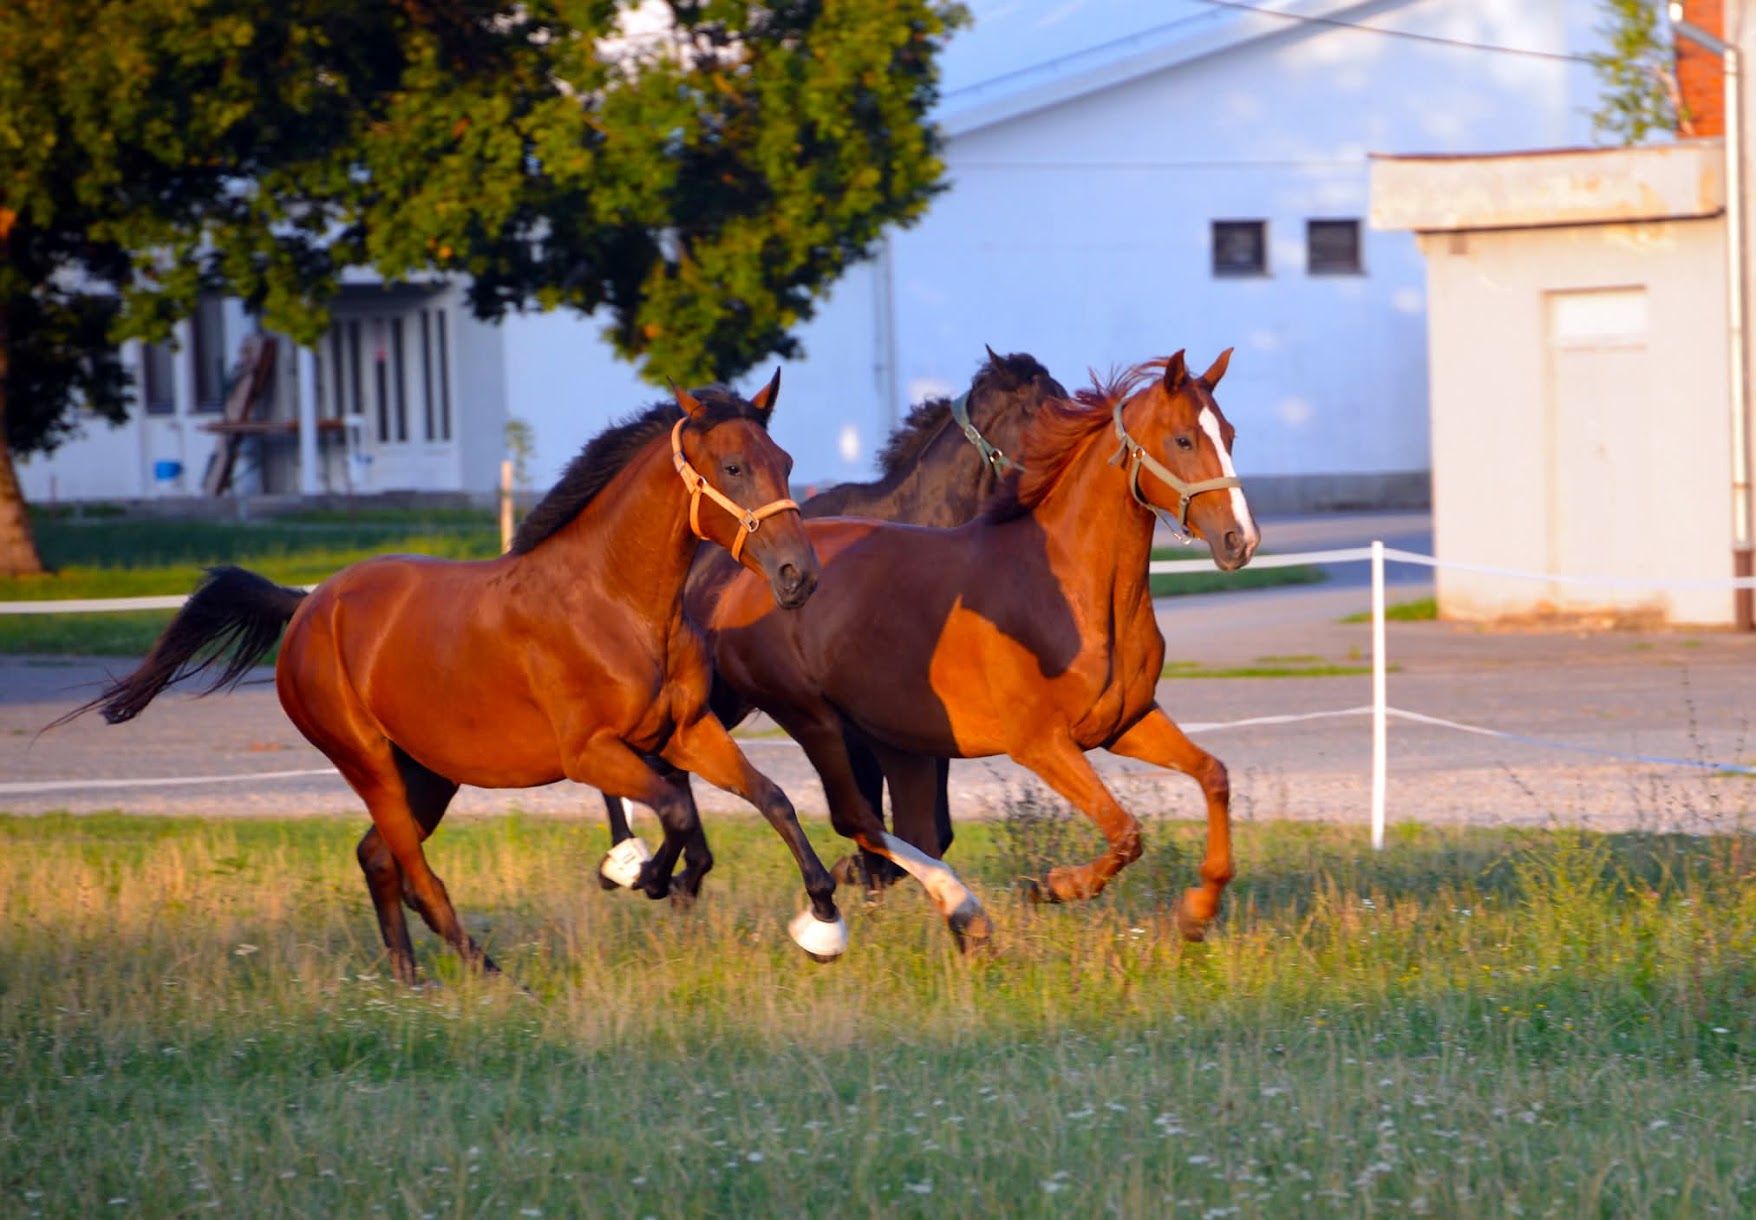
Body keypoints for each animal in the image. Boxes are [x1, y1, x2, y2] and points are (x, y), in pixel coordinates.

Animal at [59, 377, 857, 981]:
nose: (800, 575)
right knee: (415, 873)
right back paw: (488, 973)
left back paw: (411, 982)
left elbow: (771, 799)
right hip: (370, 763)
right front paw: (649, 877)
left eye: (785, 460)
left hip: (429, 773)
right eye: (732, 467)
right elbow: (676, 809)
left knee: (377, 859)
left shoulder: (686, 731)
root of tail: (309, 603)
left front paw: (821, 915)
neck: (616, 603)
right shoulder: (591, 752)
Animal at [594, 349, 1067, 893]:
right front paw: (860, 869)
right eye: (1045, 411)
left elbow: (930, 832)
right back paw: (632, 861)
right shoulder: (857, 722)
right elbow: (881, 820)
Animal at [696, 350, 1259, 945]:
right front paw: (1054, 886)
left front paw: (1197, 910)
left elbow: (1213, 776)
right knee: (849, 817)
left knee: (905, 830)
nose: (1240, 541)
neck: (1069, 587)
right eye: (1182, 439)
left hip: (896, 739)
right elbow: (1125, 830)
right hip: (810, 719)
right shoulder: (1041, 743)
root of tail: (744, 577)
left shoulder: (1126, 722)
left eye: (1229, 434)